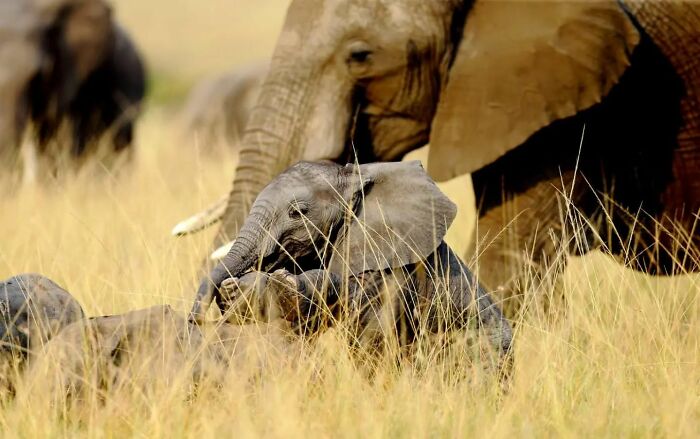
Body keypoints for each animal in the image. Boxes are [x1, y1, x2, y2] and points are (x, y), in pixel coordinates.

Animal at [194, 162, 512, 368]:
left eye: (297, 213)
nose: (194, 321)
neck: (356, 177)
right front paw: (241, 293)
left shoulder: (393, 263)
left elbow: (373, 332)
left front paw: (281, 285)